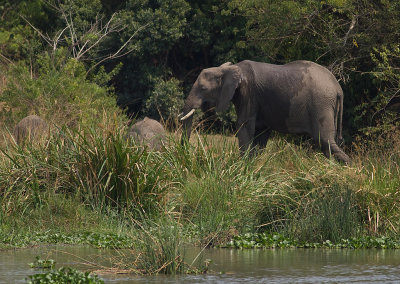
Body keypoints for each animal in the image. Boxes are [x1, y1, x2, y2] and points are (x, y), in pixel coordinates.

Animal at [180, 59, 350, 164]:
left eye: (203, 88)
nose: (184, 156)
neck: (229, 69)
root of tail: (338, 87)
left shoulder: (248, 93)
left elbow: (244, 126)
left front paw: (242, 166)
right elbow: (260, 133)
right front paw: (253, 165)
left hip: (321, 104)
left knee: (324, 140)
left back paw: (347, 168)